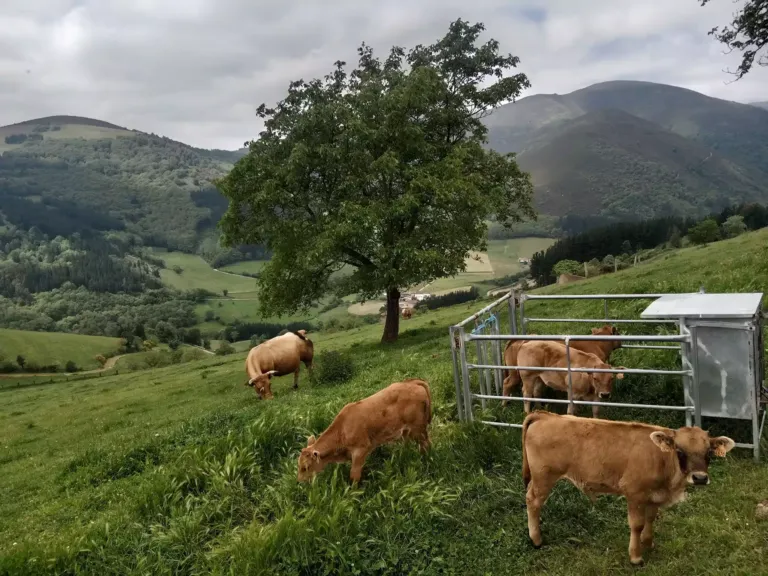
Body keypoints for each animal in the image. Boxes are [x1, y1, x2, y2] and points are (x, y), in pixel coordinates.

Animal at [296, 380, 432, 484]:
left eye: (305, 467)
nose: (299, 482)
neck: (342, 430)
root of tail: (413, 382)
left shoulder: (360, 450)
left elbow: (354, 476)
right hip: (407, 431)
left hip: (418, 429)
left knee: (425, 444)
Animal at [524, 412, 736, 564]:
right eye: (679, 451)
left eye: (708, 452)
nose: (700, 478)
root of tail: (546, 415)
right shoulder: (634, 493)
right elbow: (637, 524)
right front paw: (636, 556)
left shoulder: (654, 495)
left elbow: (650, 518)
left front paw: (648, 543)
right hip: (543, 477)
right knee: (533, 501)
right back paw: (536, 540)